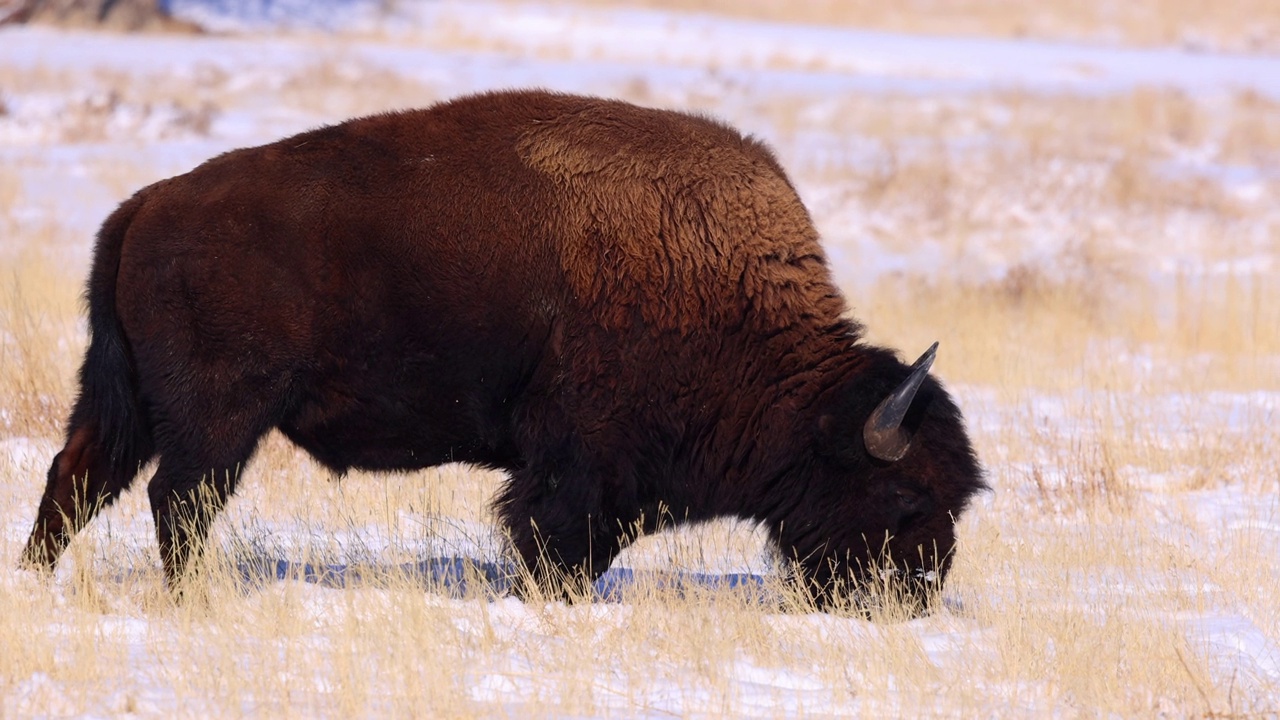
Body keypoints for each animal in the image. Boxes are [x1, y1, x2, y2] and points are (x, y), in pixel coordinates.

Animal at [20, 88, 983, 604]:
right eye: (905, 497)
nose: (917, 597)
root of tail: (146, 204)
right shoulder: (581, 468)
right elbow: (554, 539)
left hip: (126, 400)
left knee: (78, 477)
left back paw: (35, 580)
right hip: (218, 418)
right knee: (176, 500)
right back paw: (191, 594)